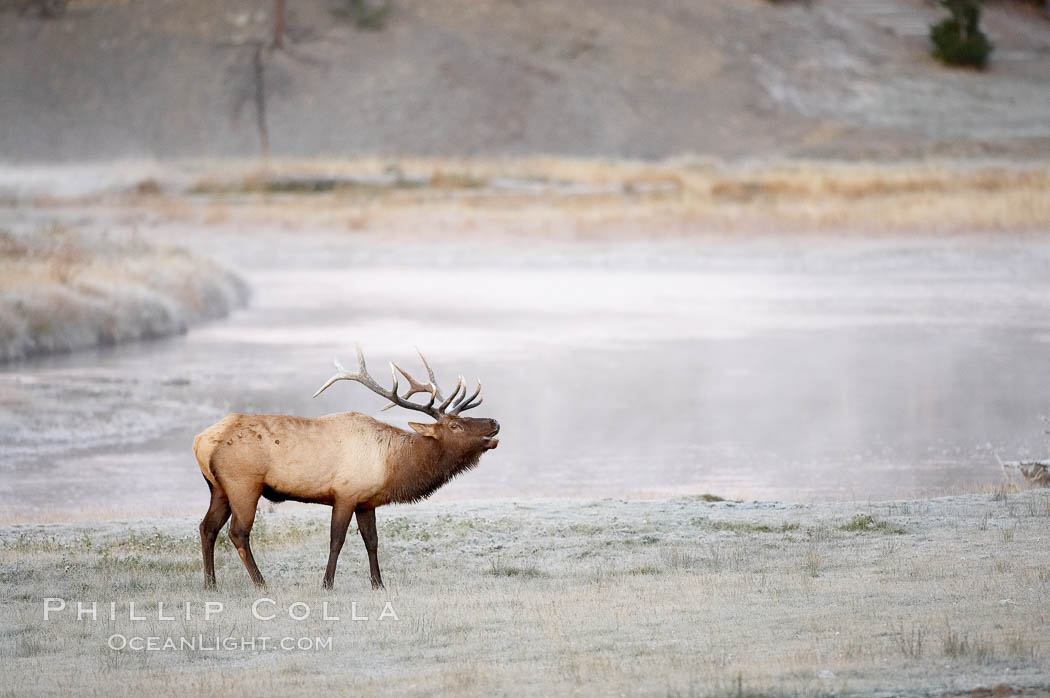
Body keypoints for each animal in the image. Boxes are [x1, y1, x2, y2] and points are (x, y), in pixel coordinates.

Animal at [196, 342, 499, 587]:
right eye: (455, 426)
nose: (494, 421)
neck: (393, 464)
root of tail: (201, 441)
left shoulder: (367, 501)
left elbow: (372, 541)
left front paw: (378, 584)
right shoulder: (345, 493)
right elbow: (337, 540)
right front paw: (327, 583)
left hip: (218, 488)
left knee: (207, 527)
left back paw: (211, 584)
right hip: (244, 484)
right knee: (238, 532)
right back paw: (261, 583)